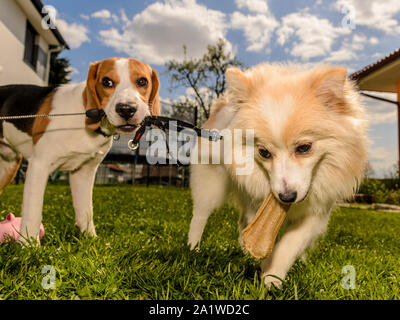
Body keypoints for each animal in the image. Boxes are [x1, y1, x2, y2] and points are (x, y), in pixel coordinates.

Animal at [0, 57, 159, 244]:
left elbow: (86, 211)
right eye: (107, 82)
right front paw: (29, 245)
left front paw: (90, 240)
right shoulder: (39, 165)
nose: (126, 109)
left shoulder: (83, 172)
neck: (83, 116)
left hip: (8, 168)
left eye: (142, 81)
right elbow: (33, 211)